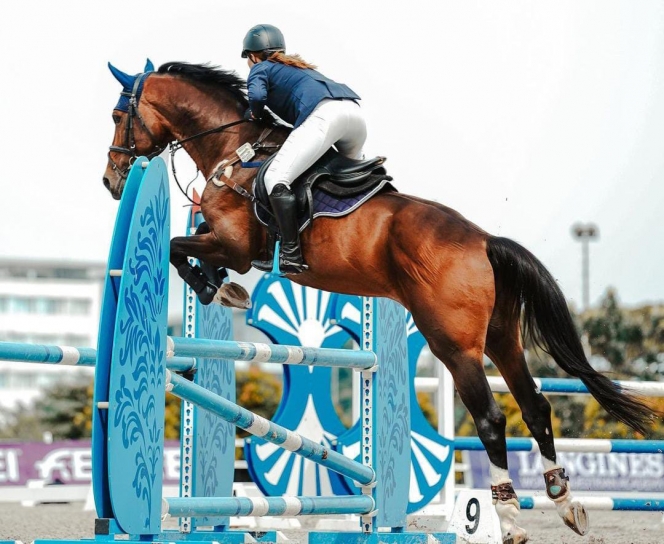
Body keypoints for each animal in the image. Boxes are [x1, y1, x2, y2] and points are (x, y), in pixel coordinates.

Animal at [104, 60, 652, 544]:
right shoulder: (224, 242)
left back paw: (511, 521)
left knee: (492, 420)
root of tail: (483, 240)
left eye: (116, 115)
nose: (111, 181)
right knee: (535, 406)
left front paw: (217, 289)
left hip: (454, 345)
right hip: (500, 338)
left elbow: (177, 248)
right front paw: (219, 286)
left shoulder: (235, 245)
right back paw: (565, 503)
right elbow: (188, 242)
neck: (233, 149)